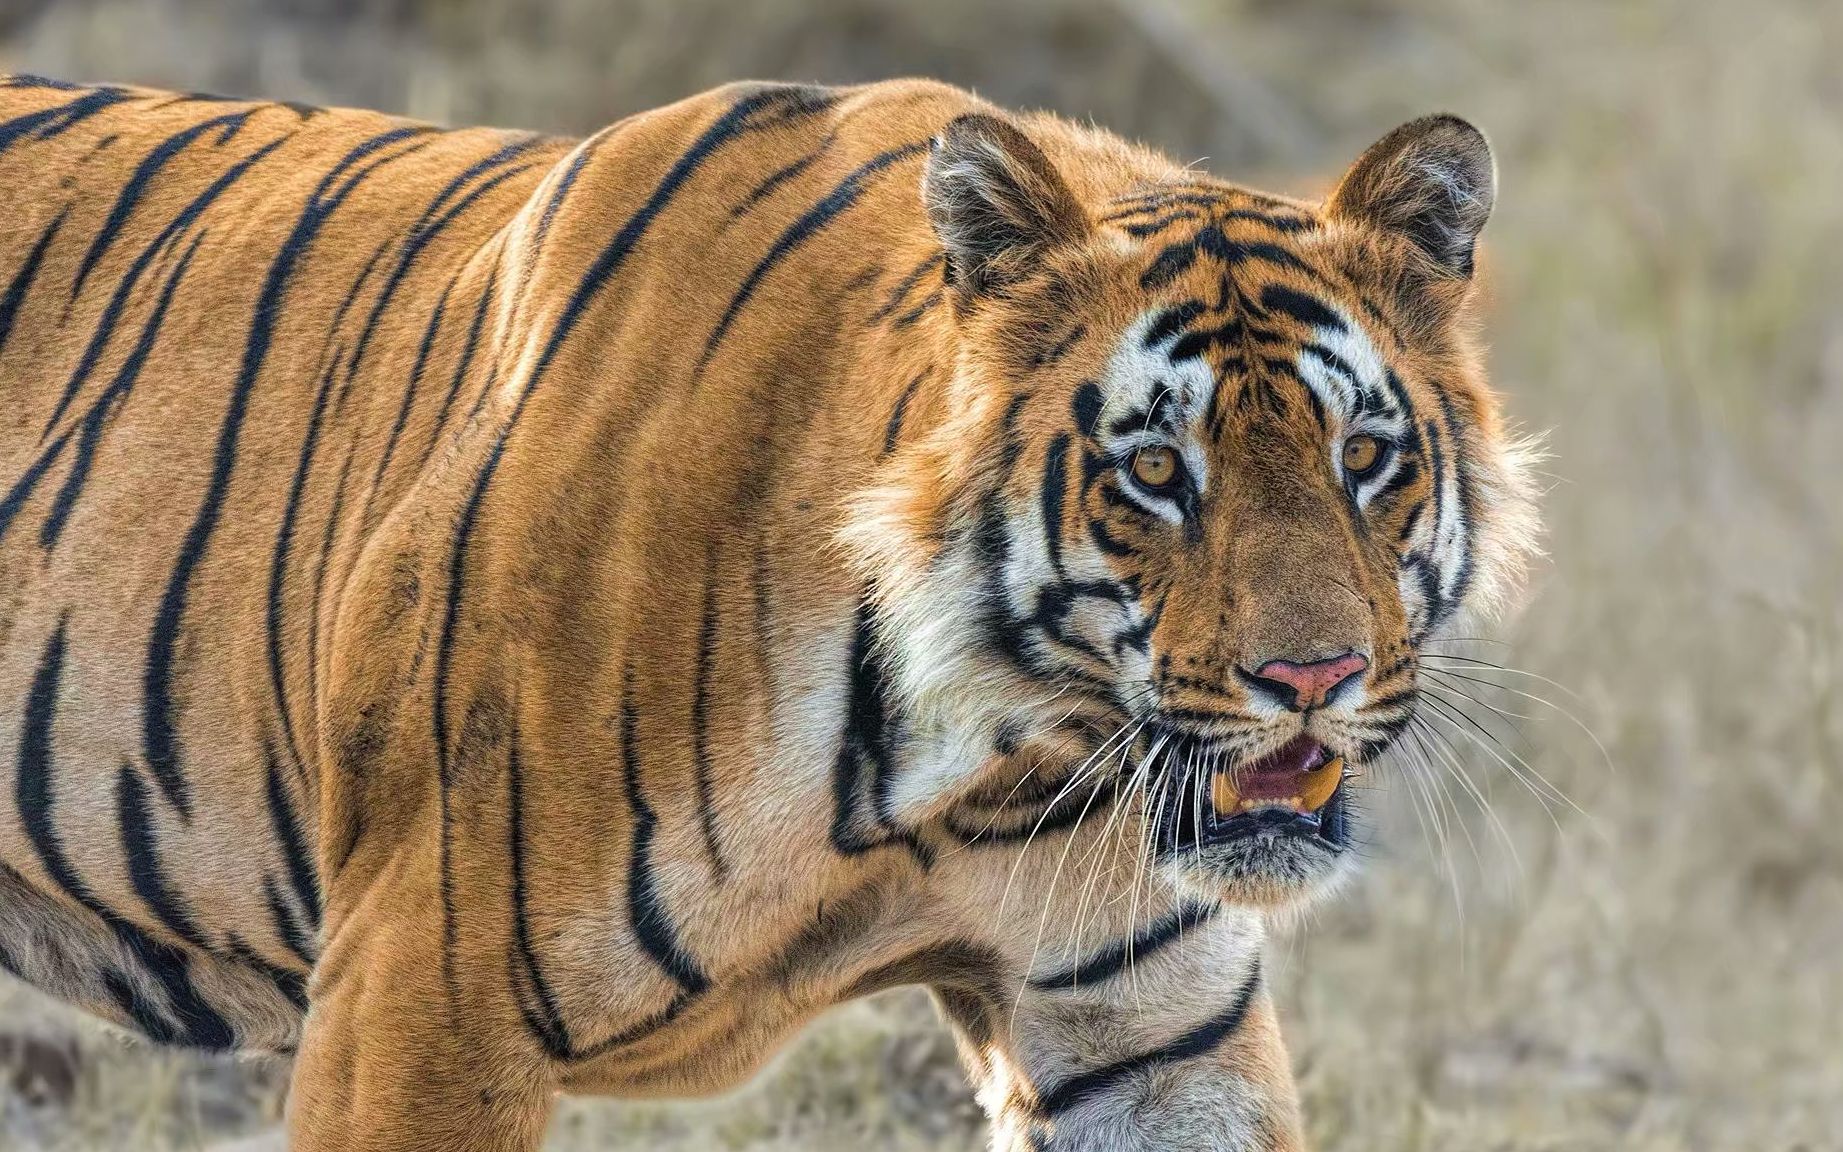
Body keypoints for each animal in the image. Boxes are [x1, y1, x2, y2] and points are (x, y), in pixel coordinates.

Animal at [0, 74, 1540, 1150]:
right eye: (1156, 471)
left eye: (1363, 457)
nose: (1313, 677)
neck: (981, 761)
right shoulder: (414, 996)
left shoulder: (1150, 1039)